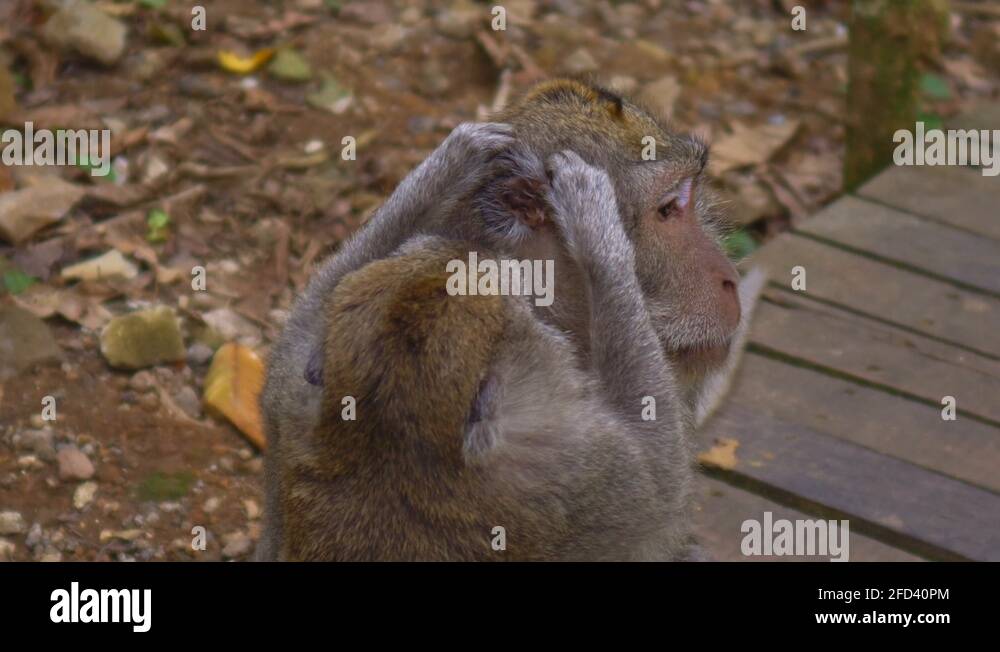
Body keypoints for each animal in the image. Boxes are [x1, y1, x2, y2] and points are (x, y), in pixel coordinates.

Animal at [257, 79, 754, 561]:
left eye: (688, 199)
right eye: (668, 208)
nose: (729, 280)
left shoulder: (300, 388)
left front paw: (448, 163)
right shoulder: (566, 465)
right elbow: (657, 484)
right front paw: (597, 232)